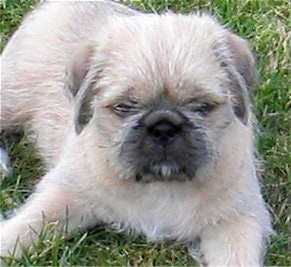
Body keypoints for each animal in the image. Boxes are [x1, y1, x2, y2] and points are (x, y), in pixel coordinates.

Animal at [0, 1, 274, 266]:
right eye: (124, 107)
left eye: (202, 106)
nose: (163, 126)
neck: (160, 185)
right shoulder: (66, 192)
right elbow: (28, 225)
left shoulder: (238, 218)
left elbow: (237, 258)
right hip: (11, 99)